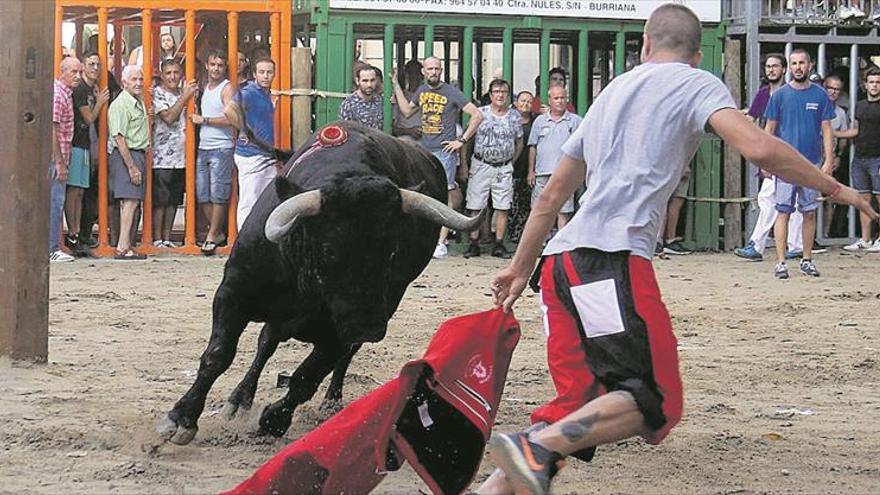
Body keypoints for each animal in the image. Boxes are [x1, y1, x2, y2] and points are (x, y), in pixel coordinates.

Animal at [158, 124, 482, 446]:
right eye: (329, 249)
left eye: (393, 250)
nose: (369, 328)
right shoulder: (233, 292)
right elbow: (218, 354)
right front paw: (182, 417)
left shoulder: (341, 330)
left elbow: (307, 377)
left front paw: (274, 419)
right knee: (266, 343)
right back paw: (240, 399)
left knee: (335, 357)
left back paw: (330, 400)